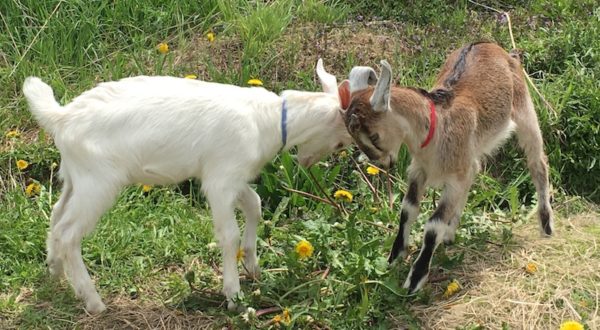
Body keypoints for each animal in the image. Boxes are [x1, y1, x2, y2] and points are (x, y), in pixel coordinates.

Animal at [23, 60, 352, 314]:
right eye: (342, 140)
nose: (307, 162)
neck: (269, 121)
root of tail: (61, 118)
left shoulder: (231, 176)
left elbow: (255, 204)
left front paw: (253, 266)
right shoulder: (221, 179)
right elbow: (229, 235)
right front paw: (233, 295)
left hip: (74, 177)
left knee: (56, 216)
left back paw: (54, 272)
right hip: (98, 181)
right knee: (69, 232)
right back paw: (93, 301)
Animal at [342, 42, 552, 292]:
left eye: (374, 136)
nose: (382, 163)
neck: (436, 128)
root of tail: (492, 45)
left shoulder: (454, 179)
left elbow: (434, 224)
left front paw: (415, 279)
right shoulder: (419, 170)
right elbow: (408, 210)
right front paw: (394, 257)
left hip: (524, 109)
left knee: (538, 163)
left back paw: (546, 226)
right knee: (475, 169)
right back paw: (451, 234)